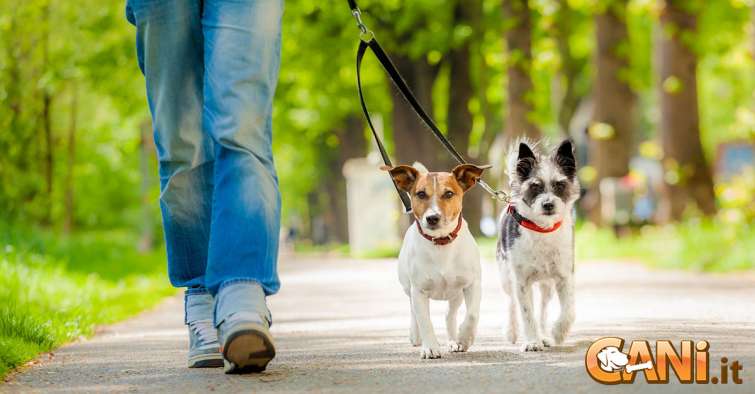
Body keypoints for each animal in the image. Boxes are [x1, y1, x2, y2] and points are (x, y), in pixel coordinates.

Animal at [384, 162, 490, 358]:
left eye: (448, 194)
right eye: (420, 194)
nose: (432, 218)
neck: (441, 243)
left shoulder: (472, 285)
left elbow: (472, 315)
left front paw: (464, 338)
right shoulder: (418, 290)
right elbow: (425, 321)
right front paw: (430, 347)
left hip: (456, 294)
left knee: (450, 315)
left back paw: (453, 340)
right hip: (408, 288)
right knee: (413, 311)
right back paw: (416, 335)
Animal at [500, 139, 580, 350]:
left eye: (559, 185)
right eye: (535, 186)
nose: (548, 204)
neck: (542, 230)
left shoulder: (564, 277)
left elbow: (569, 310)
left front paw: (558, 333)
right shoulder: (521, 281)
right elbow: (527, 313)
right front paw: (532, 341)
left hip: (547, 286)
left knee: (543, 309)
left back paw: (544, 335)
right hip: (506, 277)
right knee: (511, 303)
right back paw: (512, 331)